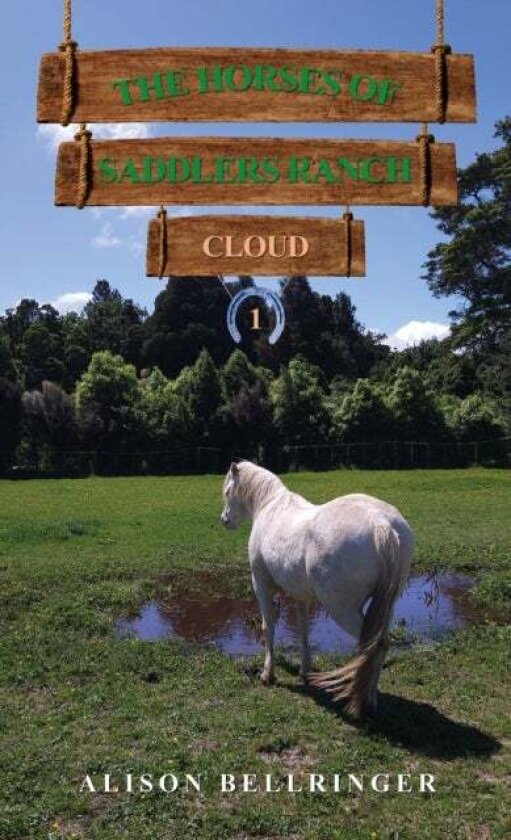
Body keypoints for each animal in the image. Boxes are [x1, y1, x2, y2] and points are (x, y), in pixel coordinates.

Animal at [220, 461, 414, 717]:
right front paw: (306, 669)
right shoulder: (301, 595)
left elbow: (268, 625)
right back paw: (370, 699)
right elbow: (303, 629)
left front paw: (267, 674)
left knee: (374, 645)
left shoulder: (261, 584)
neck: (271, 507)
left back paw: (361, 700)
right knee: (381, 645)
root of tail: (381, 525)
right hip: (385, 606)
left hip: (342, 610)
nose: (224, 519)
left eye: (227, 492)